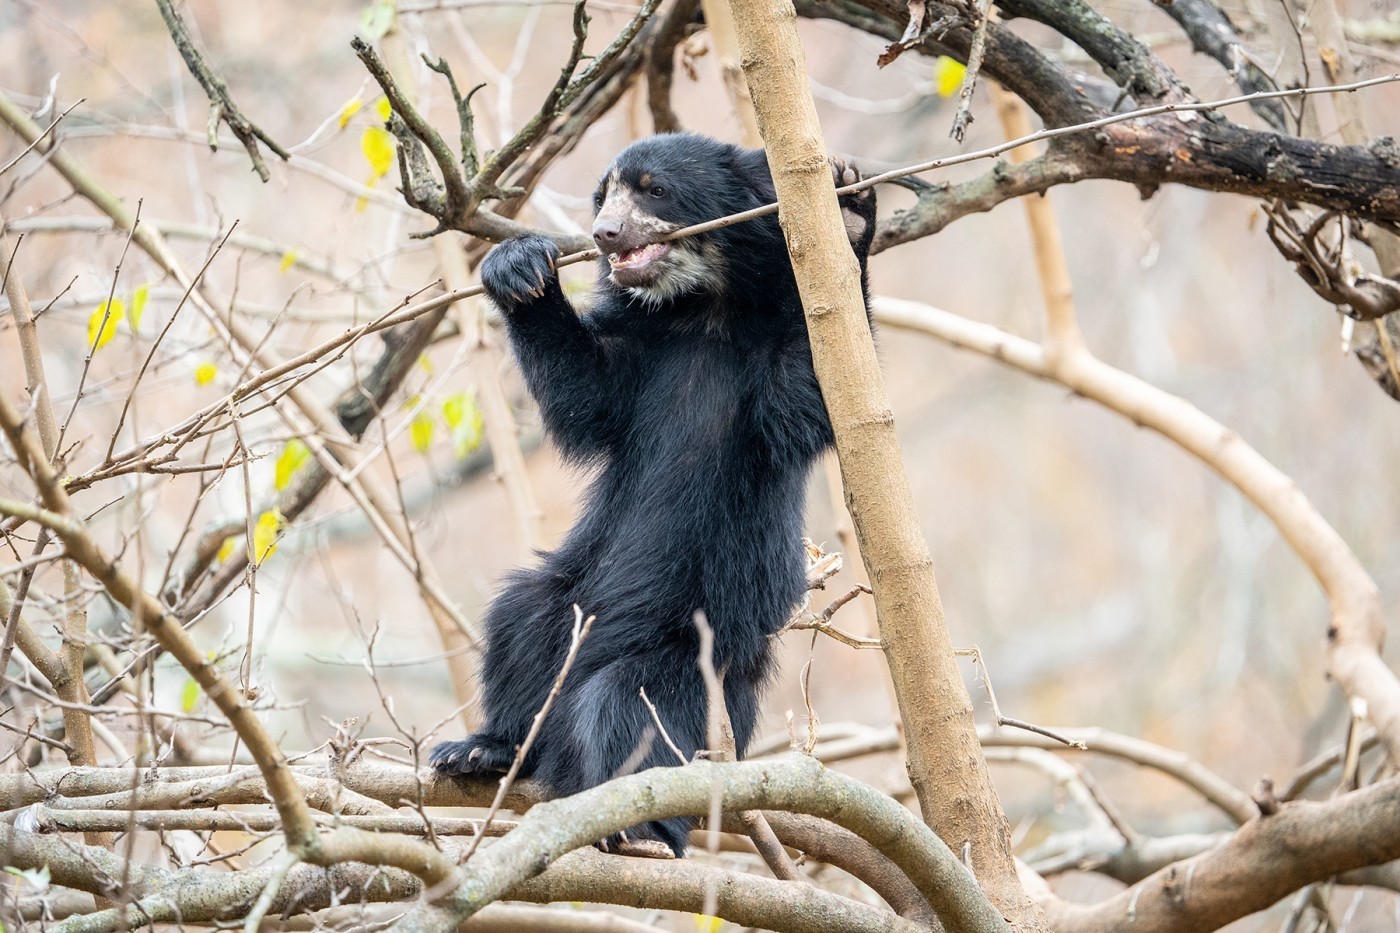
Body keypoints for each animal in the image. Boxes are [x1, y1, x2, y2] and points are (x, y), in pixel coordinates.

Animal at [431, 130, 879, 851]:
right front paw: (519, 269)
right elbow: (587, 395)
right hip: (572, 591)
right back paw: (484, 749)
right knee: (520, 621)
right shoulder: (639, 351)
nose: (604, 234)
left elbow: (805, 394)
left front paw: (852, 213)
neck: (701, 310)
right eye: (601, 195)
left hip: (696, 652)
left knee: (630, 709)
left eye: (653, 189)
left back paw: (638, 826)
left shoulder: (769, 361)